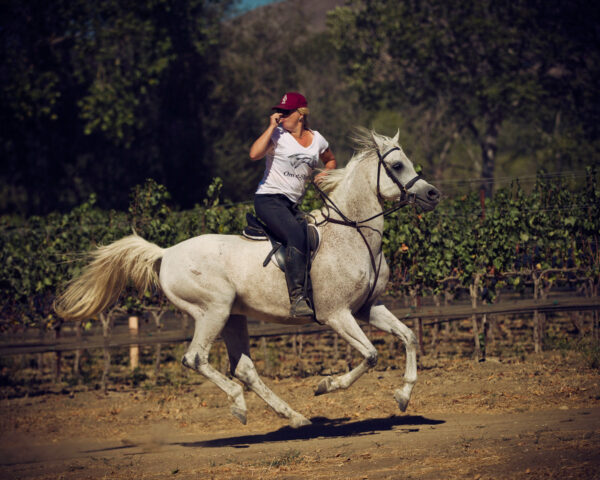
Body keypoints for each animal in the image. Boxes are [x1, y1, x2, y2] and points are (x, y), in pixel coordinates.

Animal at [56, 128, 440, 428]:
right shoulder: (337, 315)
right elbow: (371, 355)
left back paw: (295, 417)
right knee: (197, 359)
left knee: (243, 369)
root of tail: (165, 254)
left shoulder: (367, 307)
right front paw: (325, 385)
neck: (352, 233)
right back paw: (240, 406)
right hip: (213, 310)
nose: (432, 194)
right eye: (396, 165)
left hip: (233, 318)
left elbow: (408, 337)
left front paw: (403, 395)